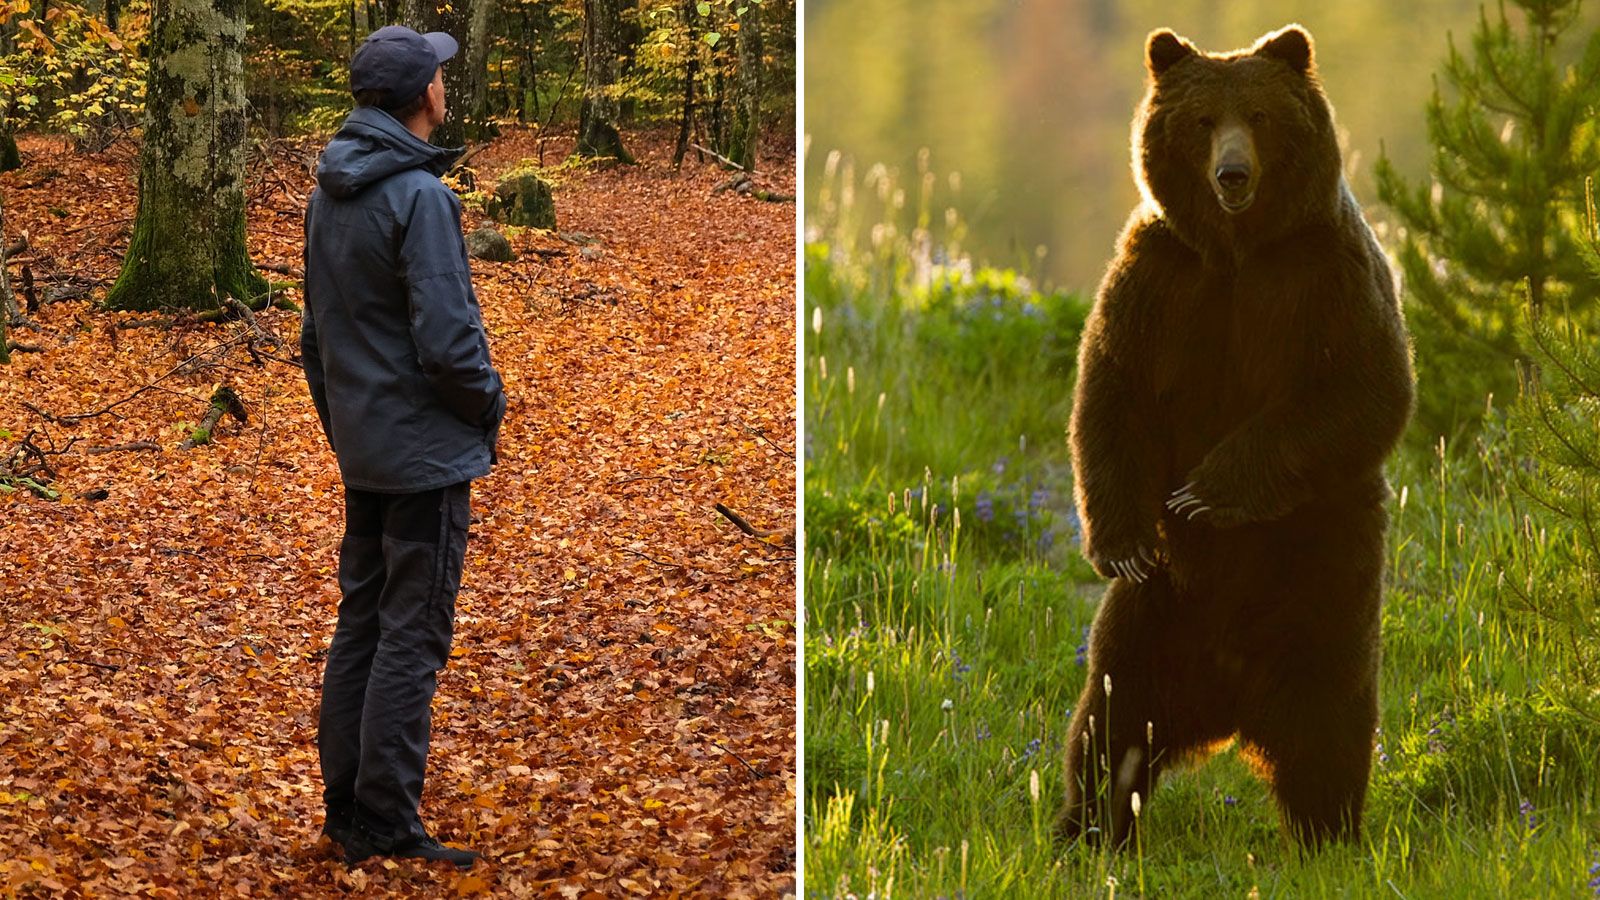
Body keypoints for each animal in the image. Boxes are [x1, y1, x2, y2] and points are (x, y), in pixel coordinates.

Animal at [1062, 22, 1414, 845]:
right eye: (1201, 120)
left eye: (1258, 115)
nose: (1231, 173)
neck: (1237, 248)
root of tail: (1227, 705)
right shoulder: (1160, 278)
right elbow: (1112, 391)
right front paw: (1122, 541)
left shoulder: (1325, 272)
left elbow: (1364, 388)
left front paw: (1204, 493)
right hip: (1156, 615)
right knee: (1111, 720)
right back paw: (1082, 831)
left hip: (1327, 582)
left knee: (1330, 724)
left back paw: (1327, 835)